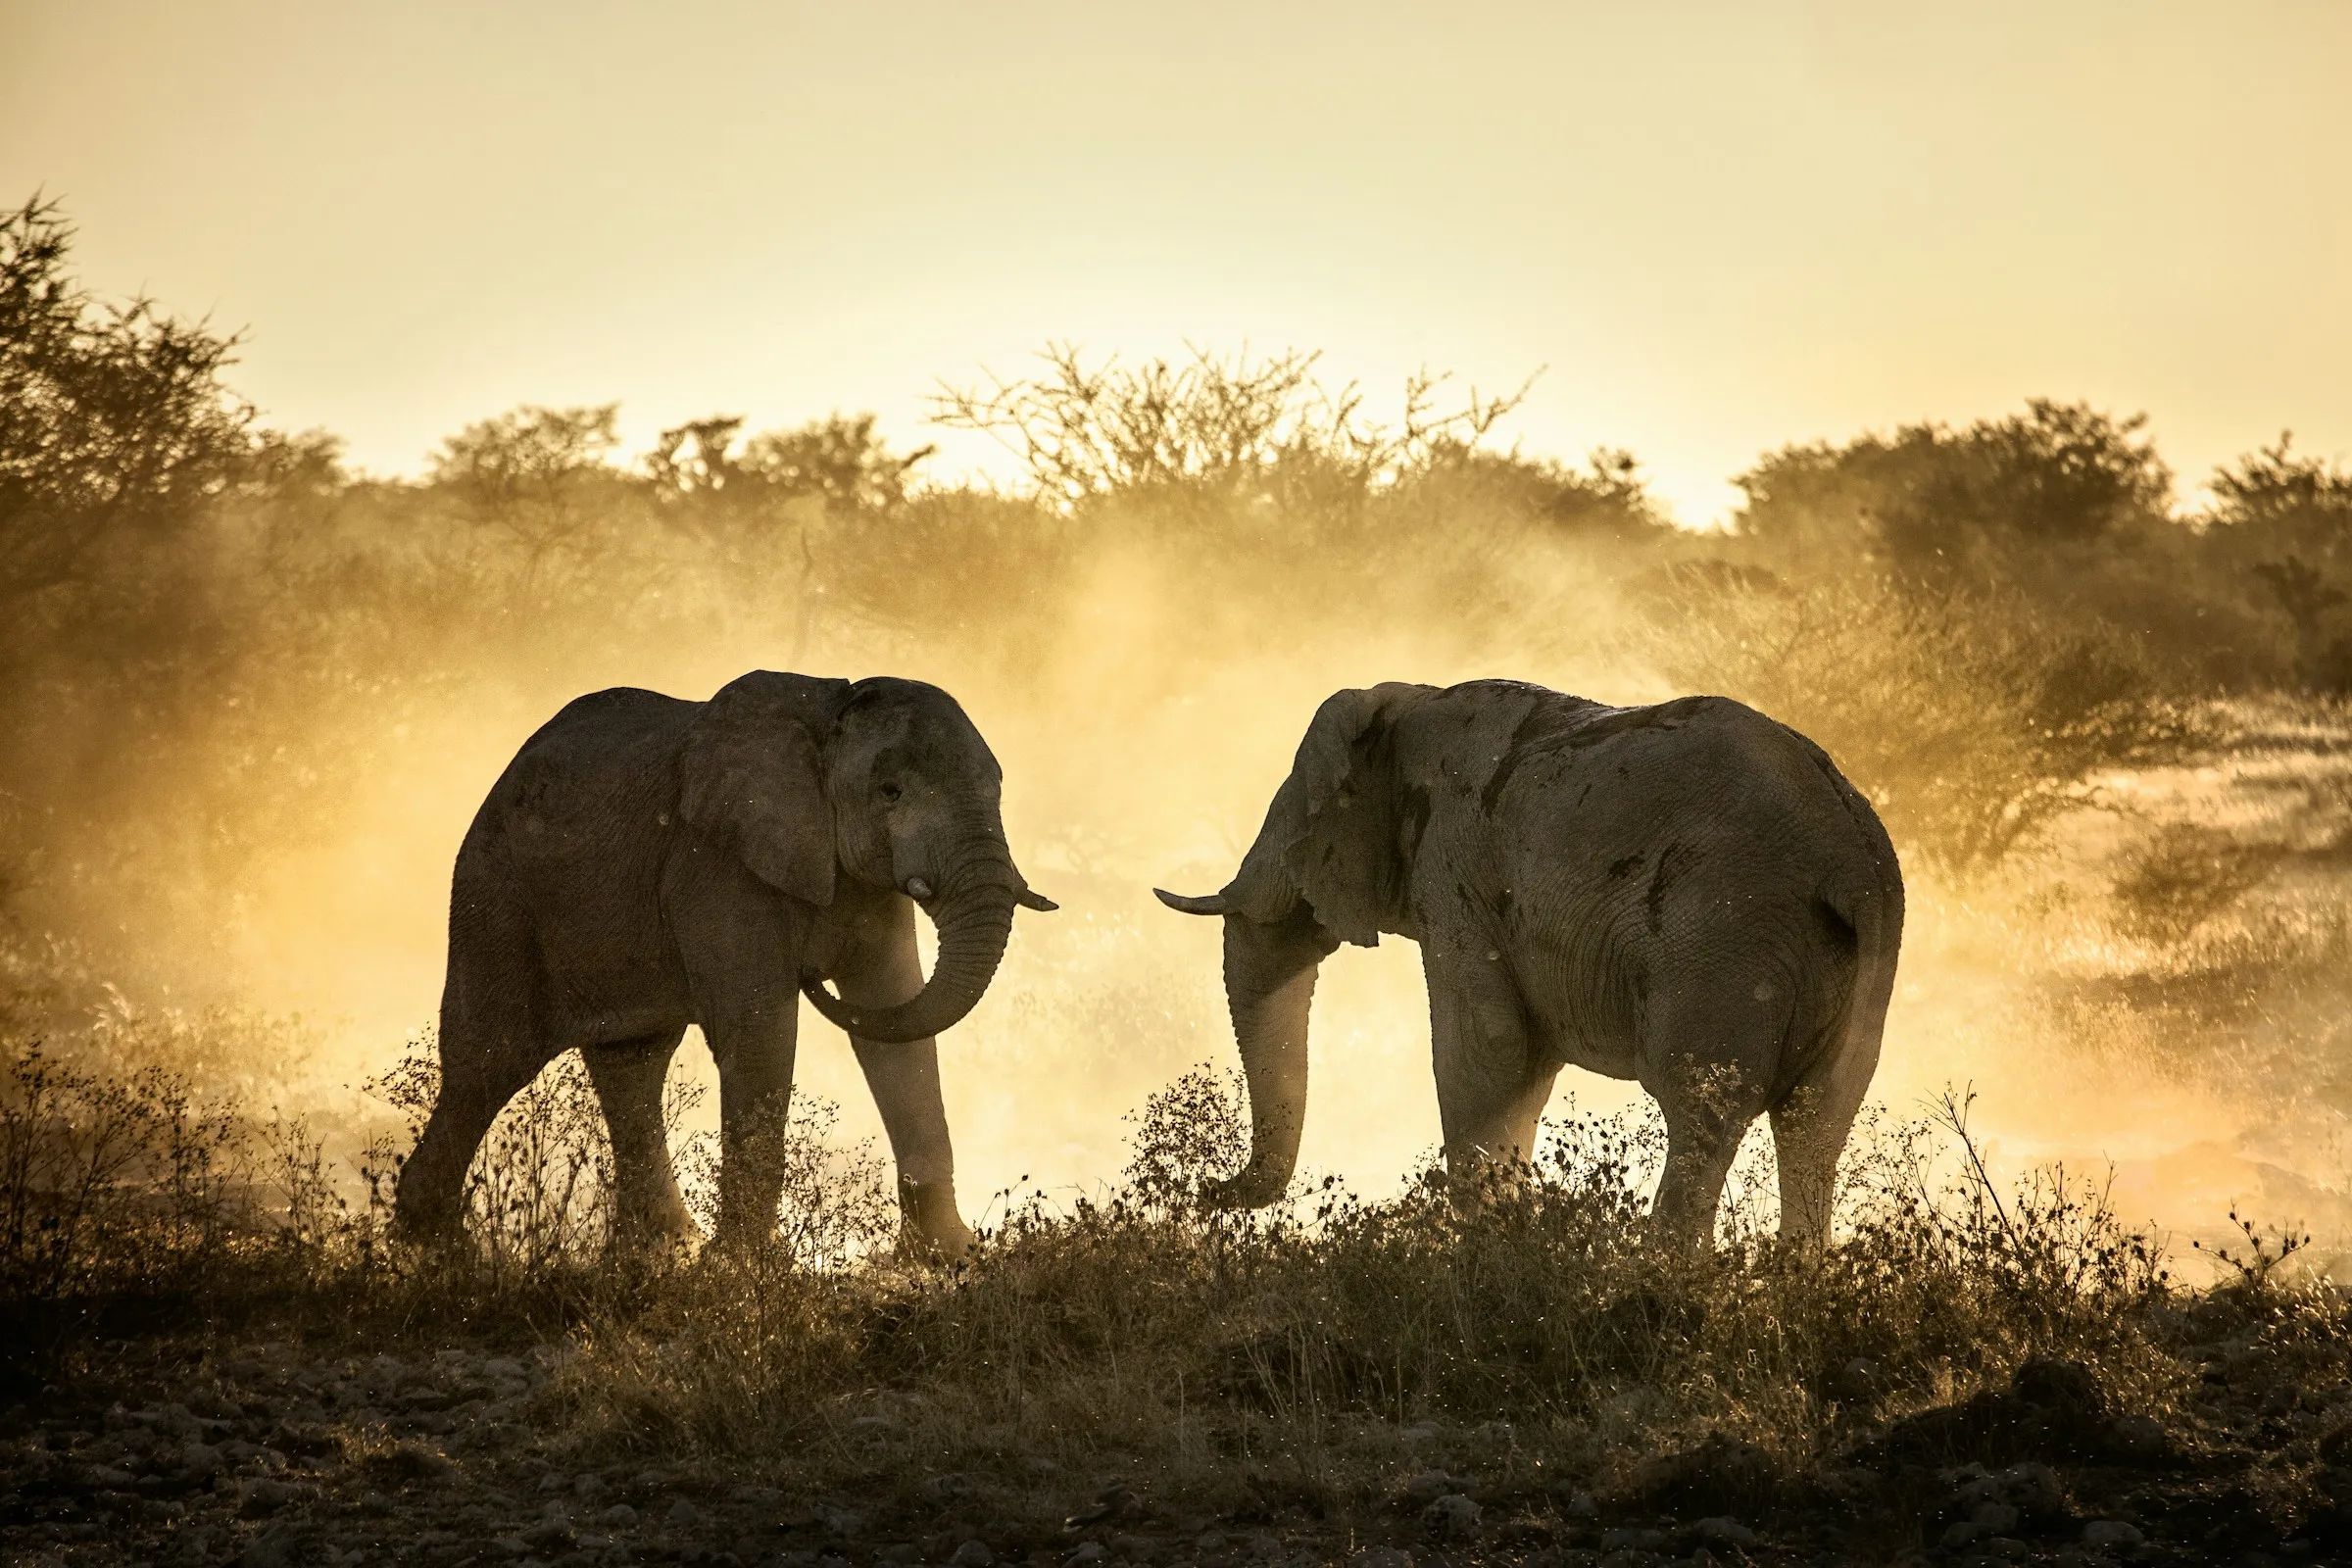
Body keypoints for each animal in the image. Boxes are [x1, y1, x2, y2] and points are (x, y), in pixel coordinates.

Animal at [394, 671, 1054, 1257]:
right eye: (891, 791)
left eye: (997, 790)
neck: (827, 717)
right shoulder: (715, 865)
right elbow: (761, 1029)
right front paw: (744, 1270)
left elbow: (893, 1015)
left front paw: (950, 1257)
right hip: (493, 896)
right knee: (489, 1062)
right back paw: (446, 1252)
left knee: (631, 1063)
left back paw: (659, 1252)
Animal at [1156, 680, 1902, 1245]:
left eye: (1294, 821)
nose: (1205, 1188)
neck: (1408, 702)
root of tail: (1851, 858)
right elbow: (1523, 1063)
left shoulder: (1455, 867)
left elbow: (1486, 1051)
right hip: (1860, 961)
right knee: (1817, 1120)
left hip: (1723, 937)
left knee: (1703, 1109)